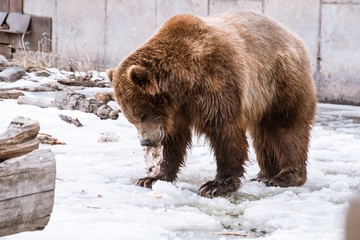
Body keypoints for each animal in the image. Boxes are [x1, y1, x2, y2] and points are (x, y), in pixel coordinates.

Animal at [108, 10, 316, 197]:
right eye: (131, 119)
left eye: (143, 114)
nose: (145, 141)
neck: (183, 84)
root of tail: (292, 35)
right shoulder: (177, 111)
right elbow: (174, 140)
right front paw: (151, 178)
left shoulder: (216, 82)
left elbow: (224, 129)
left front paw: (216, 184)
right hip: (262, 101)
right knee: (263, 135)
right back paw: (264, 174)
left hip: (280, 82)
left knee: (286, 127)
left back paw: (286, 176)